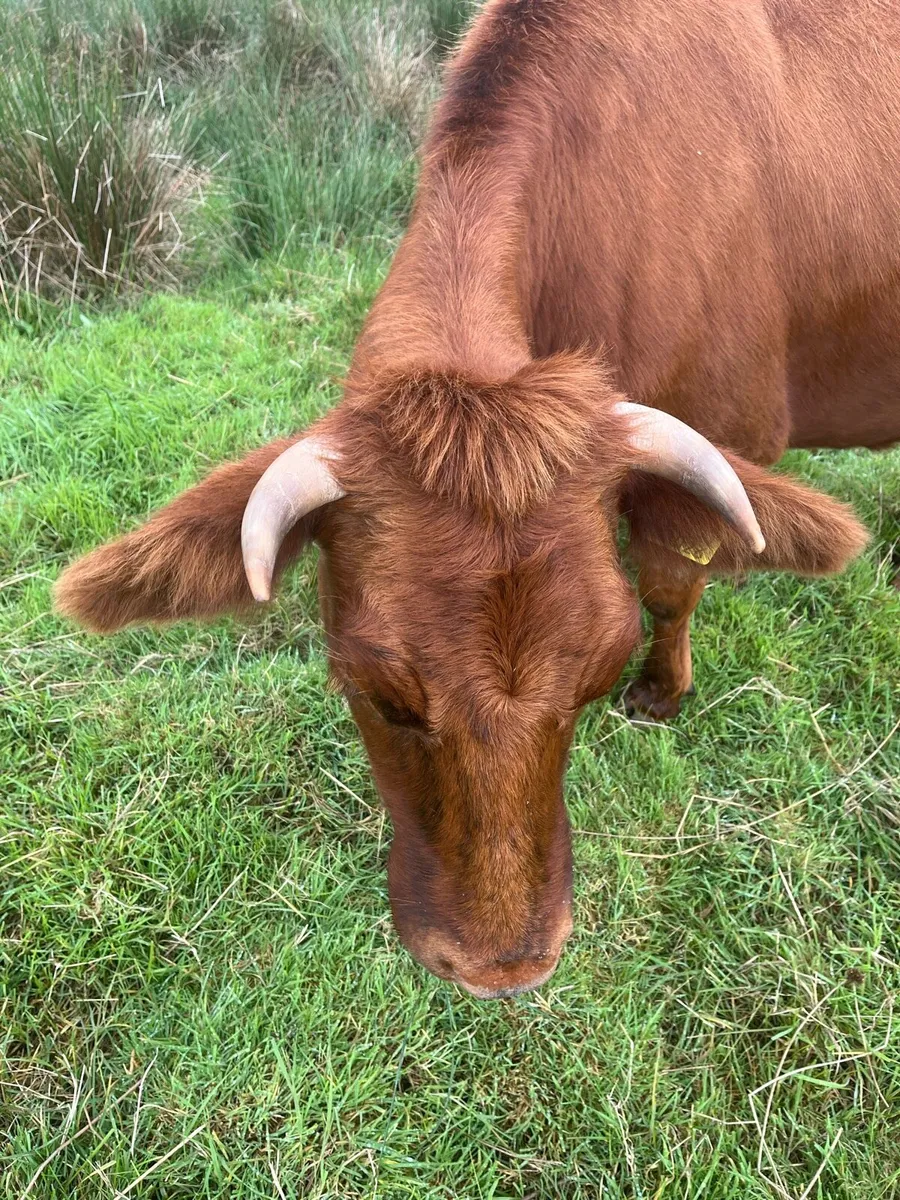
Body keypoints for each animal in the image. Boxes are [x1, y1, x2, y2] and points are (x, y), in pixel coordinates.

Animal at [55, 0, 898, 998]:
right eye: (375, 691)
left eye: (599, 674)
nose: (505, 970)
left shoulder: (734, 433)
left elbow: (670, 584)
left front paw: (662, 692)